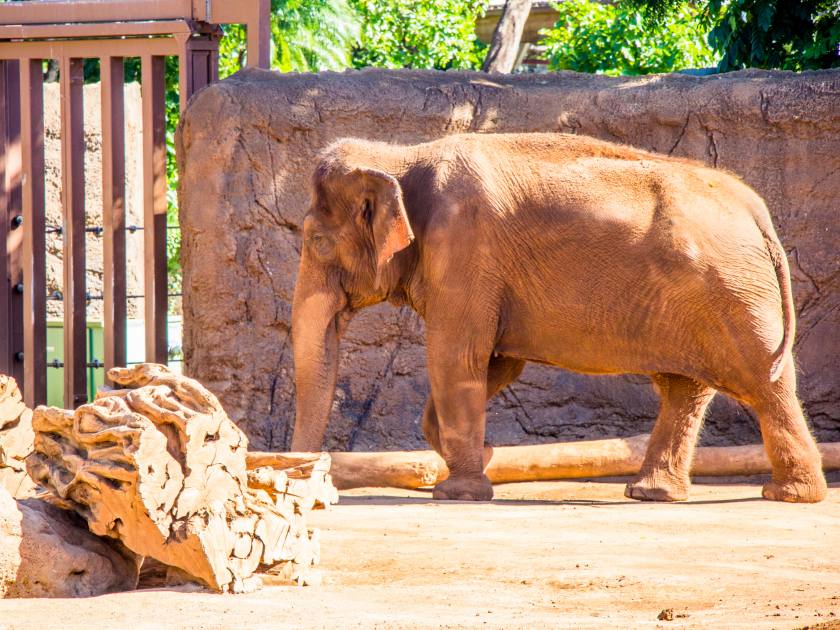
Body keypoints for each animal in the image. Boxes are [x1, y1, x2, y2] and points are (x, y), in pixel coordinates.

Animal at [290, 131, 828, 506]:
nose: (320, 491)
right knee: (684, 389)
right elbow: (497, 363)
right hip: (702, 296)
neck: (401, 156)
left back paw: (789, 496)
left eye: (316, 242)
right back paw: (653, 494)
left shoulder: (463, 250)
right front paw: (479, 460)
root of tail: (755, 207)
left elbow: (456, 357)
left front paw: (459, 492)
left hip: (732, 294)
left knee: (764, 383)